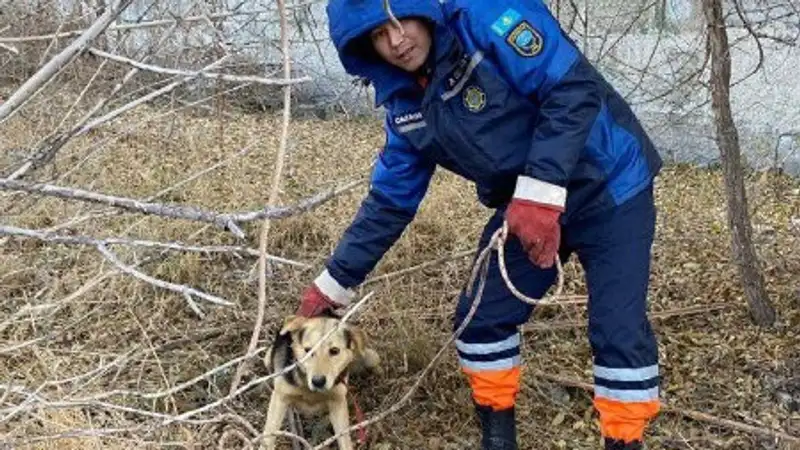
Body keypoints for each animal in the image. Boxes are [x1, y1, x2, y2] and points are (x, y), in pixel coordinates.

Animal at [260, 312, 378, 450]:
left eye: (334, 351)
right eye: (308, 350)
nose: (318, 381)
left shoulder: (338, 401)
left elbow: (344, 439)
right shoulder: (280, 397)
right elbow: (268, 435)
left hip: (371, 357)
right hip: (268, 358)